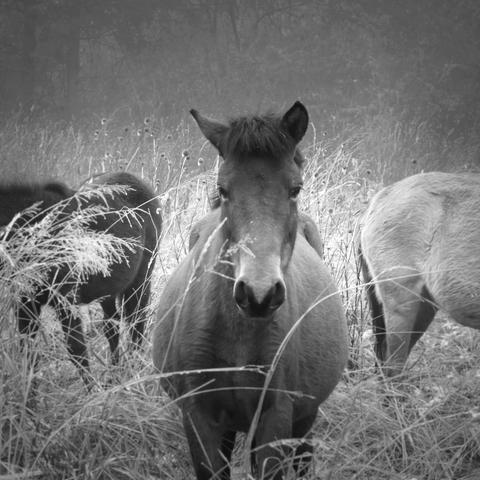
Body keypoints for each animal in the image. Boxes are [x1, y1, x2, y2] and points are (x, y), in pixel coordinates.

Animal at [0, 172, 163, 382]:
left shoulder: (66, 302)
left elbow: (77, 352)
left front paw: (92, 389)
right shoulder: (25, 303)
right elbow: (29, 353)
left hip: (140, 282)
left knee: (136, 324)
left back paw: (133, 371)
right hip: (109, 290)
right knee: (112, 327)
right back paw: (115, 373)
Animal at [152, 102, 346, 480]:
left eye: (295, 189)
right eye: (224, 188)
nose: (259, 294)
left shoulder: (276, 417)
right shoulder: (200, 417)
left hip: (304, 419)